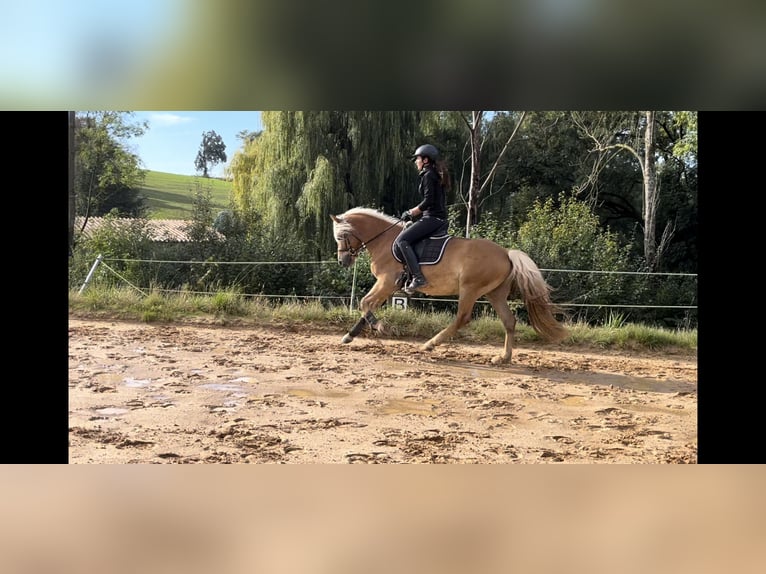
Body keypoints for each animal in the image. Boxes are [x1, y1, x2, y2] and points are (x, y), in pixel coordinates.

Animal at [330, 209, 568, 366]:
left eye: (341, 236)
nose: (343, 261)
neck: (385, 240)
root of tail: (506, 253)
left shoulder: (386, 281)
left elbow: (365, 303)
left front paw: (381, 327)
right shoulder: (386, 284)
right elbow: (368, 306)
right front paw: (349, 336)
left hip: (470, 289)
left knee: (462, 318)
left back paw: (430, 344)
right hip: (495, 294)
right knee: (509, 321)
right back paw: (503, 358)